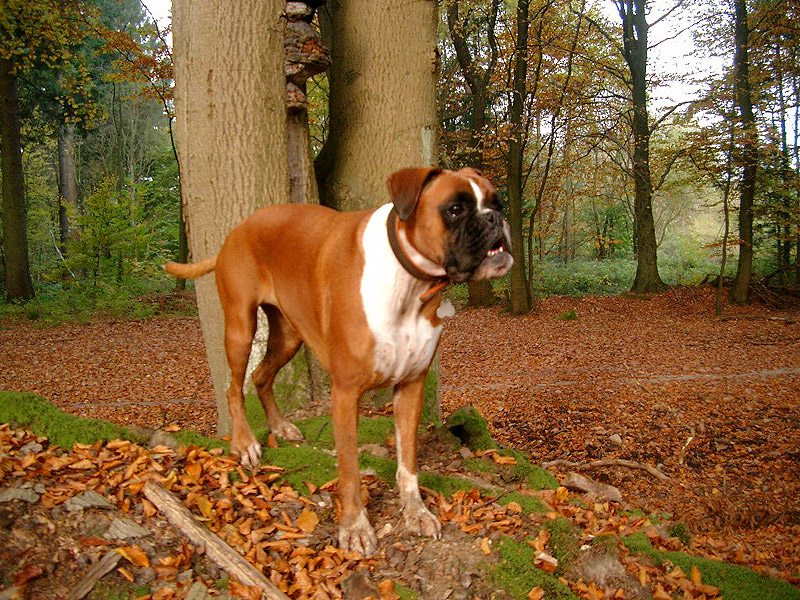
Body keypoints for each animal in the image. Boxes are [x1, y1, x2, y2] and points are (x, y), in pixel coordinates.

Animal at [165, 166, 512, 556]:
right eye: (455, 209)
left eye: (497, 202)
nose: (495, 218)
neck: (409, 283)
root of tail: (238, 229)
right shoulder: (346, 393)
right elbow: (349, 469)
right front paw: (355, 526)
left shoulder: (411, 387)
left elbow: (407, 462)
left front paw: (415, 511)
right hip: (241, 326)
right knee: (234, 387)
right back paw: (245, 442)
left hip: (289, 336)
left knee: (261, 376)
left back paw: (280, 426)